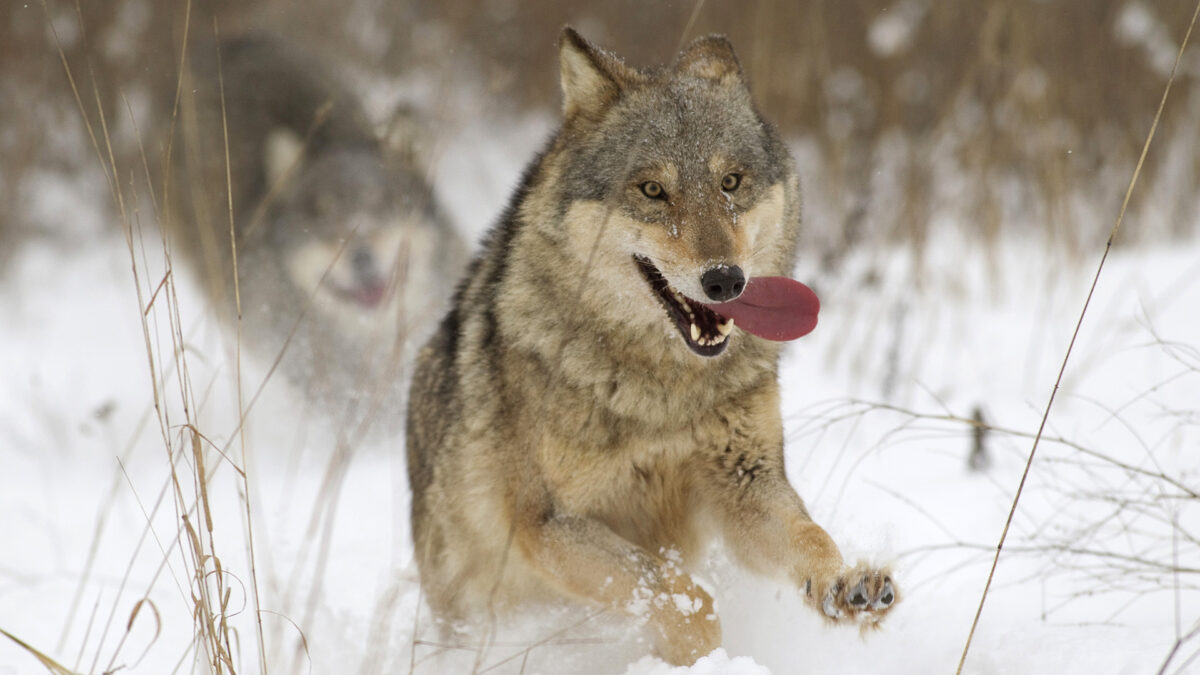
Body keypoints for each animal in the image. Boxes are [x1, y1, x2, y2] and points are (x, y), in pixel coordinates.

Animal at [408, 27, 897, 662]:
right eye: (653, 190)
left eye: (730, 182)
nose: (725, 280)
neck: (662, 394)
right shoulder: (546, 524)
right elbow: (677, 594)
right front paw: (698, 654)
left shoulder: (745, 485)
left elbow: (808, 535)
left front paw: (844, 583)